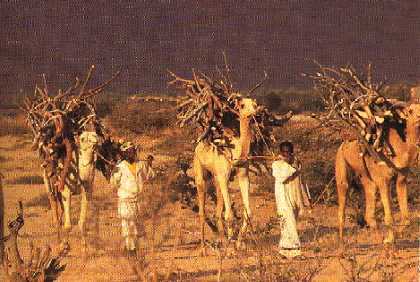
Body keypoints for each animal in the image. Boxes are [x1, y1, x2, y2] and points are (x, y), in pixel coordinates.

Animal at [194, 97, 260, 253]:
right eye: (242, 105)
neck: (236, 153)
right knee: (202, 211)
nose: (254, 113)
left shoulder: (243, 176)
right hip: (200, 173)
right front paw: (231, 248)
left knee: (217, 212)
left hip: (217, 179)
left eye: (255, 105)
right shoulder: (224, 177)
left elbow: (248, 213)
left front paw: (238, 243)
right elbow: (229, 214)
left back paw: (222, 241)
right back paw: (204, 249)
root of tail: (199, 144)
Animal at [334, 102, 420, 245]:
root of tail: (342, 145)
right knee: (342, 206)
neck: (399, 150)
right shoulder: (383, 180)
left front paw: (395, 235)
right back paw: (341, 243)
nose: (419, 116)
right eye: (410, 111)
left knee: (369, 213)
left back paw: (378, 237)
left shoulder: (401, 178)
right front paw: (390, 239)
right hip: (341, 166)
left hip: (367, 179)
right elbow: (389, 216)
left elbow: (406, 219)